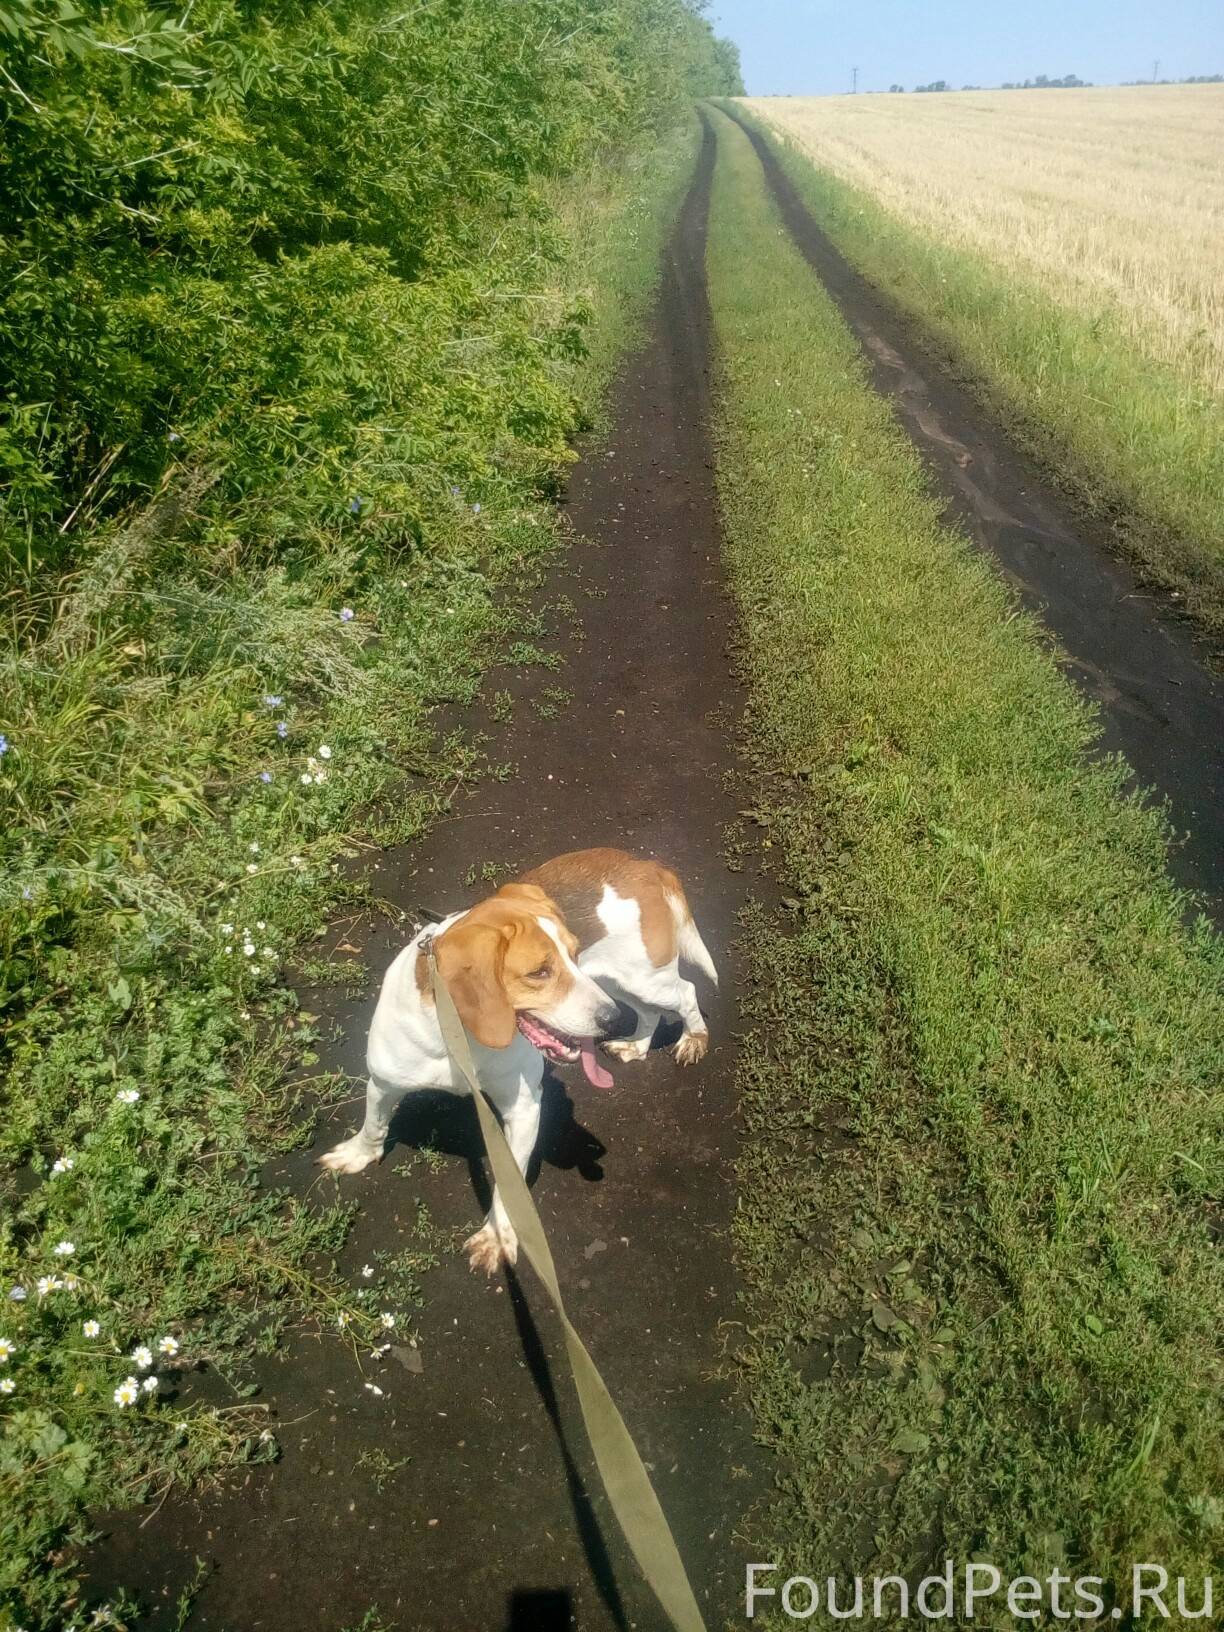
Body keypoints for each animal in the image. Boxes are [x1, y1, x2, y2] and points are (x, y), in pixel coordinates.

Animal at [321, 855, 718, 1272]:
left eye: (574, 954)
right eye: (539, 972)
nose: (609, 1020)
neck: (460, 1040)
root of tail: (645, 864)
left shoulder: (524, 1109)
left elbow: (509, 1188)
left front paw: (496, 1236)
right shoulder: (383, 1081)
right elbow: (373, 1124)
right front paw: (358, 1155)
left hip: (644, 978)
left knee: (685, 993)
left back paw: (692, 1039)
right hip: (617, 984)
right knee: (648, 1011)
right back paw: (637, 1045)